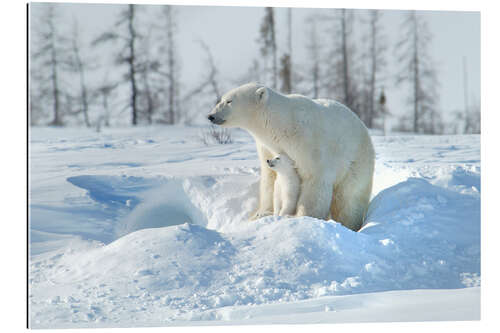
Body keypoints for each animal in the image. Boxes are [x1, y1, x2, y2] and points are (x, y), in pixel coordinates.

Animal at [207, 82, 376, 231]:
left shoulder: (308, 143)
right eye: (221, 99)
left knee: (348, 199)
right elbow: (269, 179)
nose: (211, 116)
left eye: (229, 101)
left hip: (356, 162)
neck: (282, 125)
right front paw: (261, 214)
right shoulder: (267, 147)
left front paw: (300, 217)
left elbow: (314, 180)